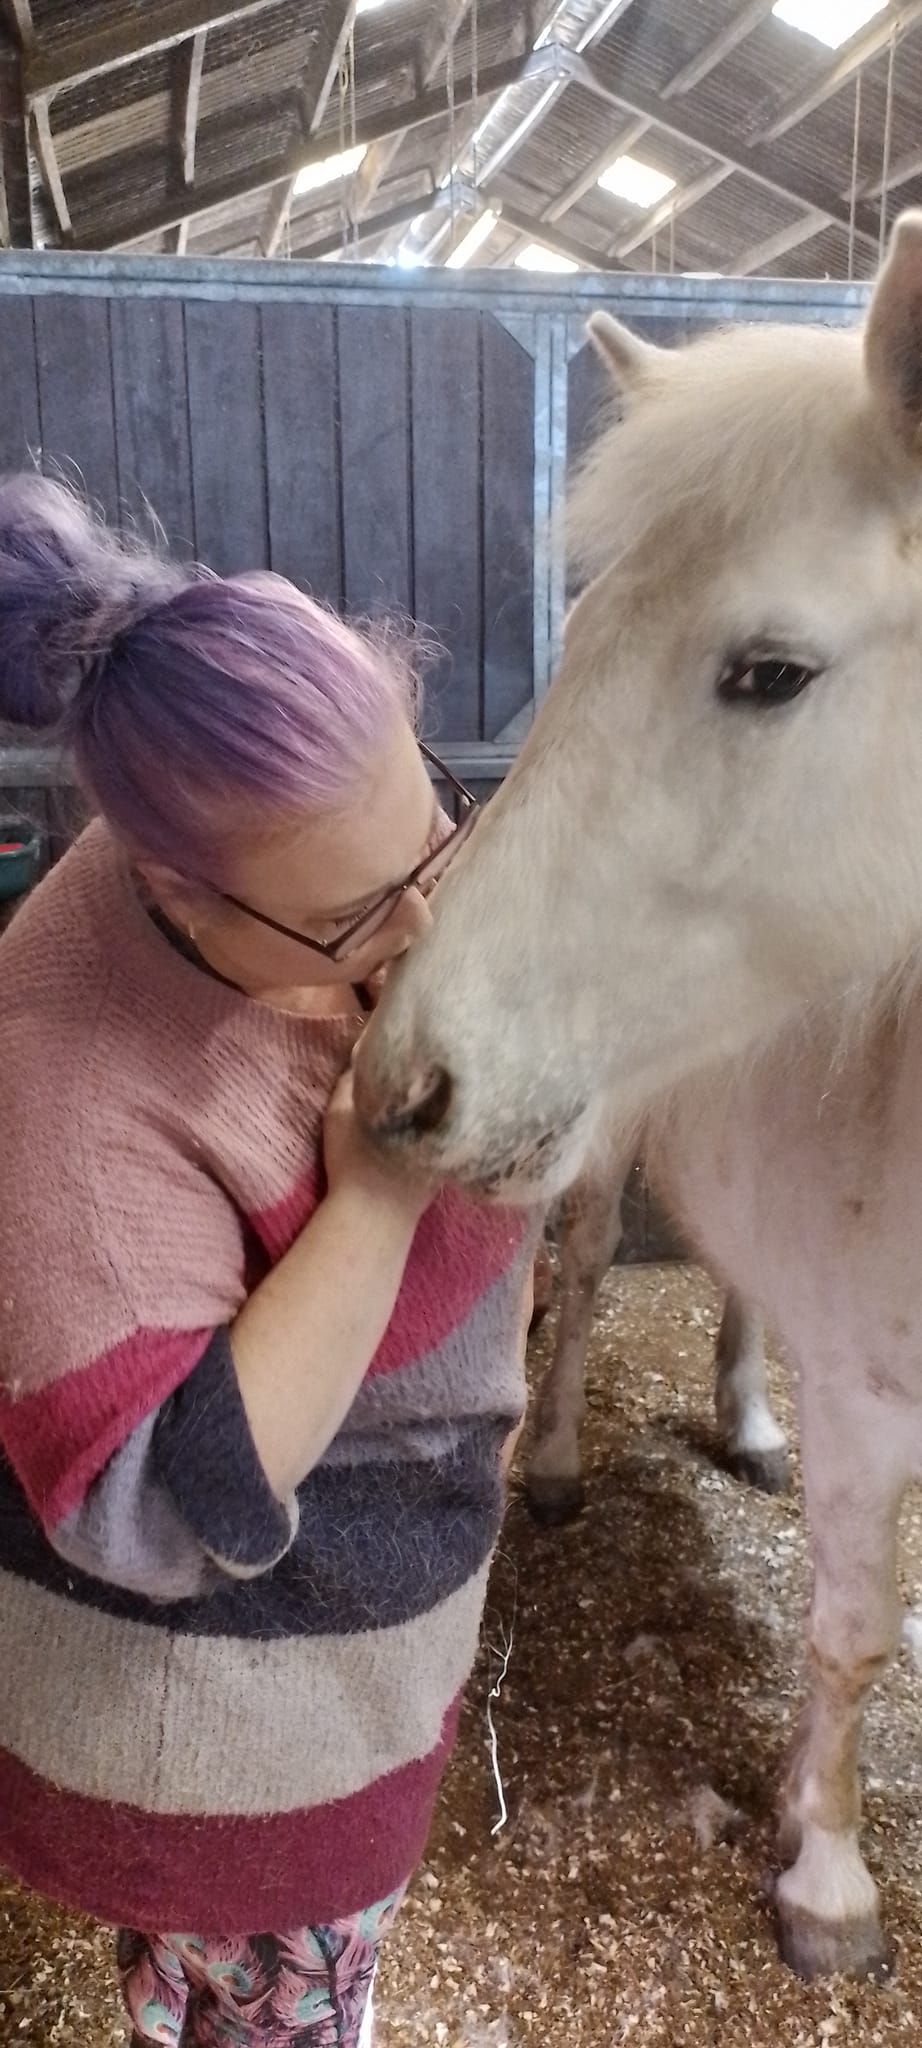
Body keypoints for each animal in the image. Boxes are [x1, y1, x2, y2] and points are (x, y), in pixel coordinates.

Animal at [355, 210, 922, 1980]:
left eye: (768, 671)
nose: (398, 1077)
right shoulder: (875, 1405)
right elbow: (850, 1632)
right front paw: (827, 1879)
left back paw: (744, 1419)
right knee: (598, 1265)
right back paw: (548, 1466)